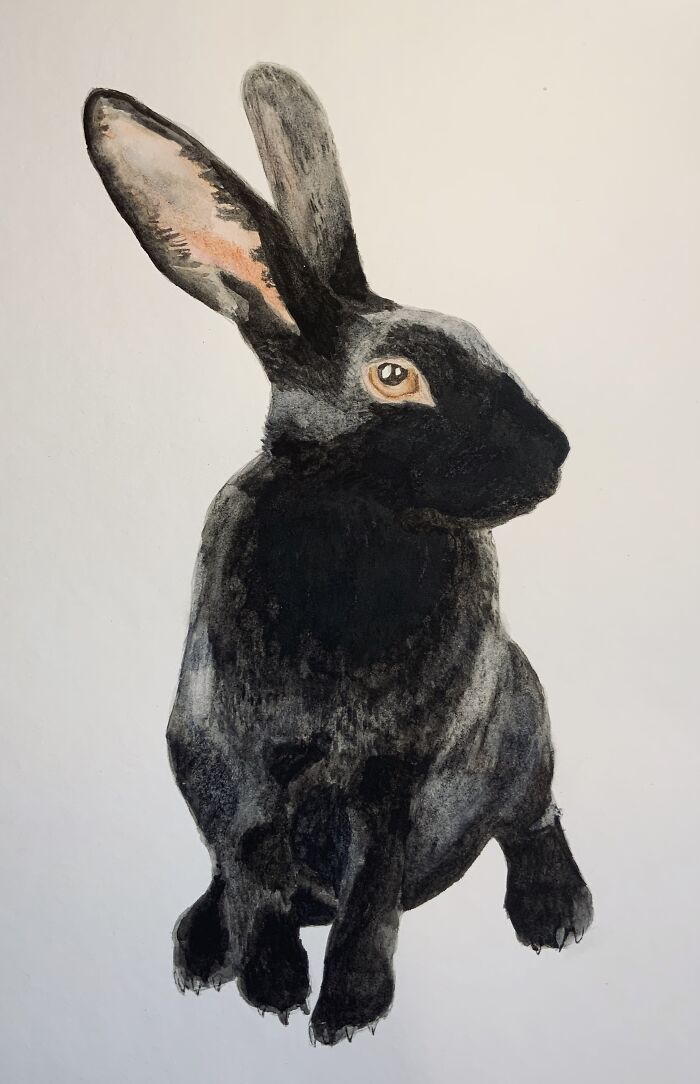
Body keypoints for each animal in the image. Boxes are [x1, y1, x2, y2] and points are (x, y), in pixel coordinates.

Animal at [83, 62, 593, 1046]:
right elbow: (256, 869)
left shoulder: (395, 772)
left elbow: (372, 890)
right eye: (394, 377)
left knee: (532, 817)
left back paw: (557, 917)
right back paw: (200, 947)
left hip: (524, 726)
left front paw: (348, 1010)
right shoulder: (242, 765)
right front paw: (272, 985)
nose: (554, 455)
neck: (359, 523)